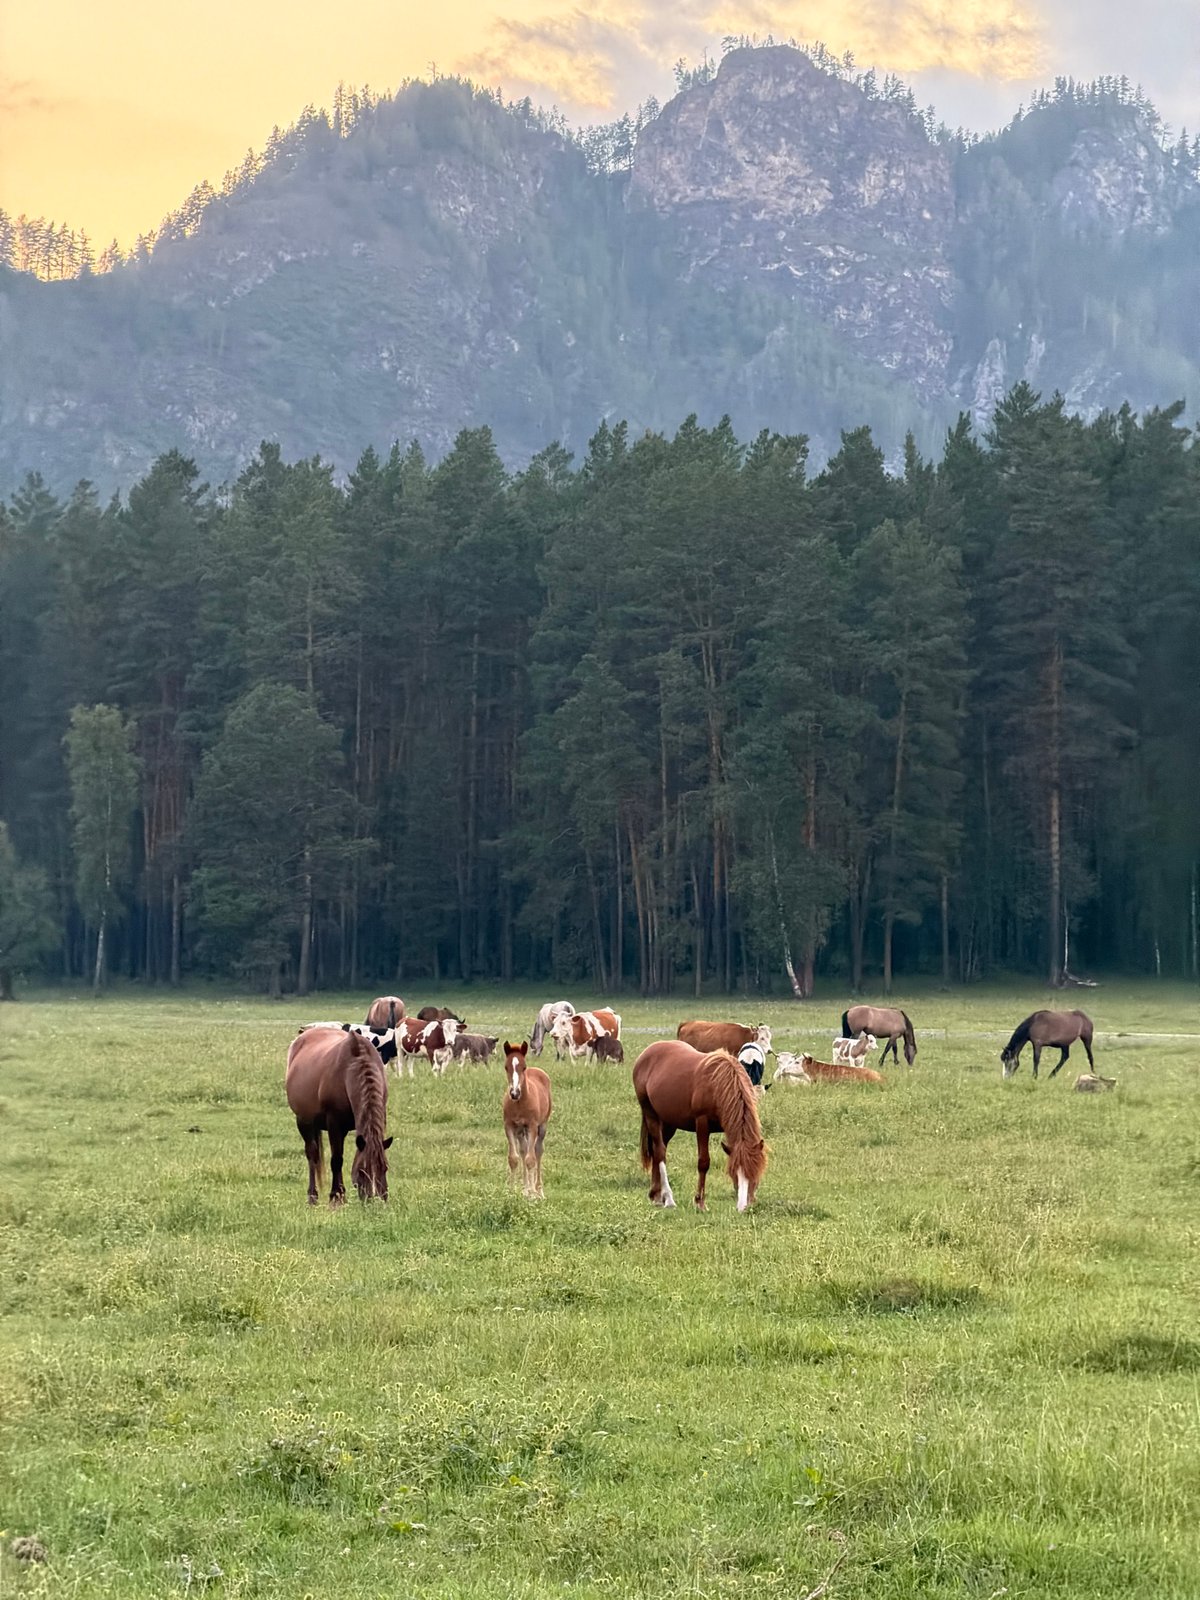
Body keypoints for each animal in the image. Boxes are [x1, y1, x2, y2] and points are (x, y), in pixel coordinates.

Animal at [285, 1027, 392, 1205]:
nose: (375, 1200)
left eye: (385, 1167)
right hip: (303, 1121)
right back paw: (312, 1196)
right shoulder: (335, 1124)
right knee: (312, 1154)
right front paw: (337, 1196)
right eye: (362, 1171)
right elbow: (337, 1160)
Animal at [502, 1042, 552, 1199]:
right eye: (506, 1067)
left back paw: (538, 1190)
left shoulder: (532, 1126)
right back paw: (525, 1188)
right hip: (520, 1130)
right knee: (524, 1150)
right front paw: (512, 1191)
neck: (519, 1103)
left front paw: (532, 1195)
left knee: (538, 1151)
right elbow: (514, 1158)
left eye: (524, 1067)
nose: (514, 1093)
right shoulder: (509, 1126)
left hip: (542, 1126)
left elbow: (531, 1160)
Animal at [632, 1040, 768, 1212]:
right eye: (733, 1173)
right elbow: (704, 1162)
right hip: (650, 1114)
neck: (719, 1084)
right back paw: (668, 1198)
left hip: (669, 1122)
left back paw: (656, 1195)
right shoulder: (702, 1123)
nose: (743, 1207)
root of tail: (646, 1054)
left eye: (755, 1172)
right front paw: (700, 1202)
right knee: (660, 1152)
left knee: (658, 1149)